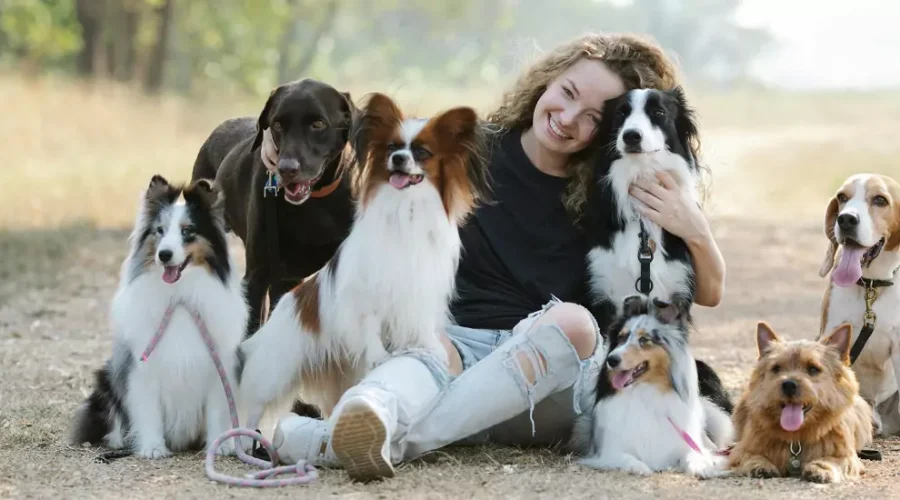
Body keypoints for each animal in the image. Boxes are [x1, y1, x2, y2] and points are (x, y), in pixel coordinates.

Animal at [68, 175, 248, 458]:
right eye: (160, 231)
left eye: (187, 231)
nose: (164, 255)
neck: (180, 296)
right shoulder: (142, 368)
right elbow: (148, 409)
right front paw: (153, 447)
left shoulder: (218, 367)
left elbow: (217, 411)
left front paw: (218, 445)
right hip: (106, 378)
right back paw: (119, 440)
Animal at [236, 93, 488, 430]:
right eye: (392, 148)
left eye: (422, 152)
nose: (399, 159)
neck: (407, 208)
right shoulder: (365, 291)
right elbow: (370, 323)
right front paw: (379, 355)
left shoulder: (421, 287)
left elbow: (421, 323)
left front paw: (430, 347)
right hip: (274, 373)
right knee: (251, 407)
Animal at [572, 294, 736, 478]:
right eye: (621, 338)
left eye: (644, 340)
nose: (611, 360)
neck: (644, 391)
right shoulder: (608, 451)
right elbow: (626, 458)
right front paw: (640, 468)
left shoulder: (684, 445)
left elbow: (693, 455)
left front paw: (702, 467)